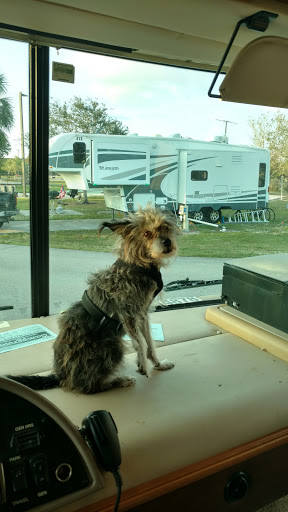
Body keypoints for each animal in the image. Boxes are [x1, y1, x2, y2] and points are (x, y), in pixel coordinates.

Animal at [8, 206, 180, 394]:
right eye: (147, 233)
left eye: (165, 228)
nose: (167, 242)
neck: (139, 265)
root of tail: (62, 377)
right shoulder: (127, 312)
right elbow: (140, 343)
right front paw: (142, 364)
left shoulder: (142, 314)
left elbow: (149, 343)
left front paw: (158, 364)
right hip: (113, 347)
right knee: (89, 387)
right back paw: (119, 381)